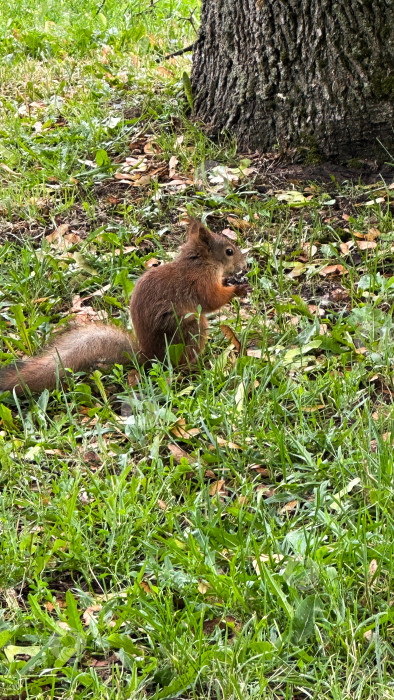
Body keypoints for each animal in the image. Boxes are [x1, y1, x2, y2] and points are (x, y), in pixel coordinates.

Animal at [0, 219, 249, 394]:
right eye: (229, 251)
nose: (245, 266)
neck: (199, 262)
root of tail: (149, 357)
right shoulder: (201, 282)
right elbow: (211, 300)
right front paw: (237, 289)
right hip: (190, 328)